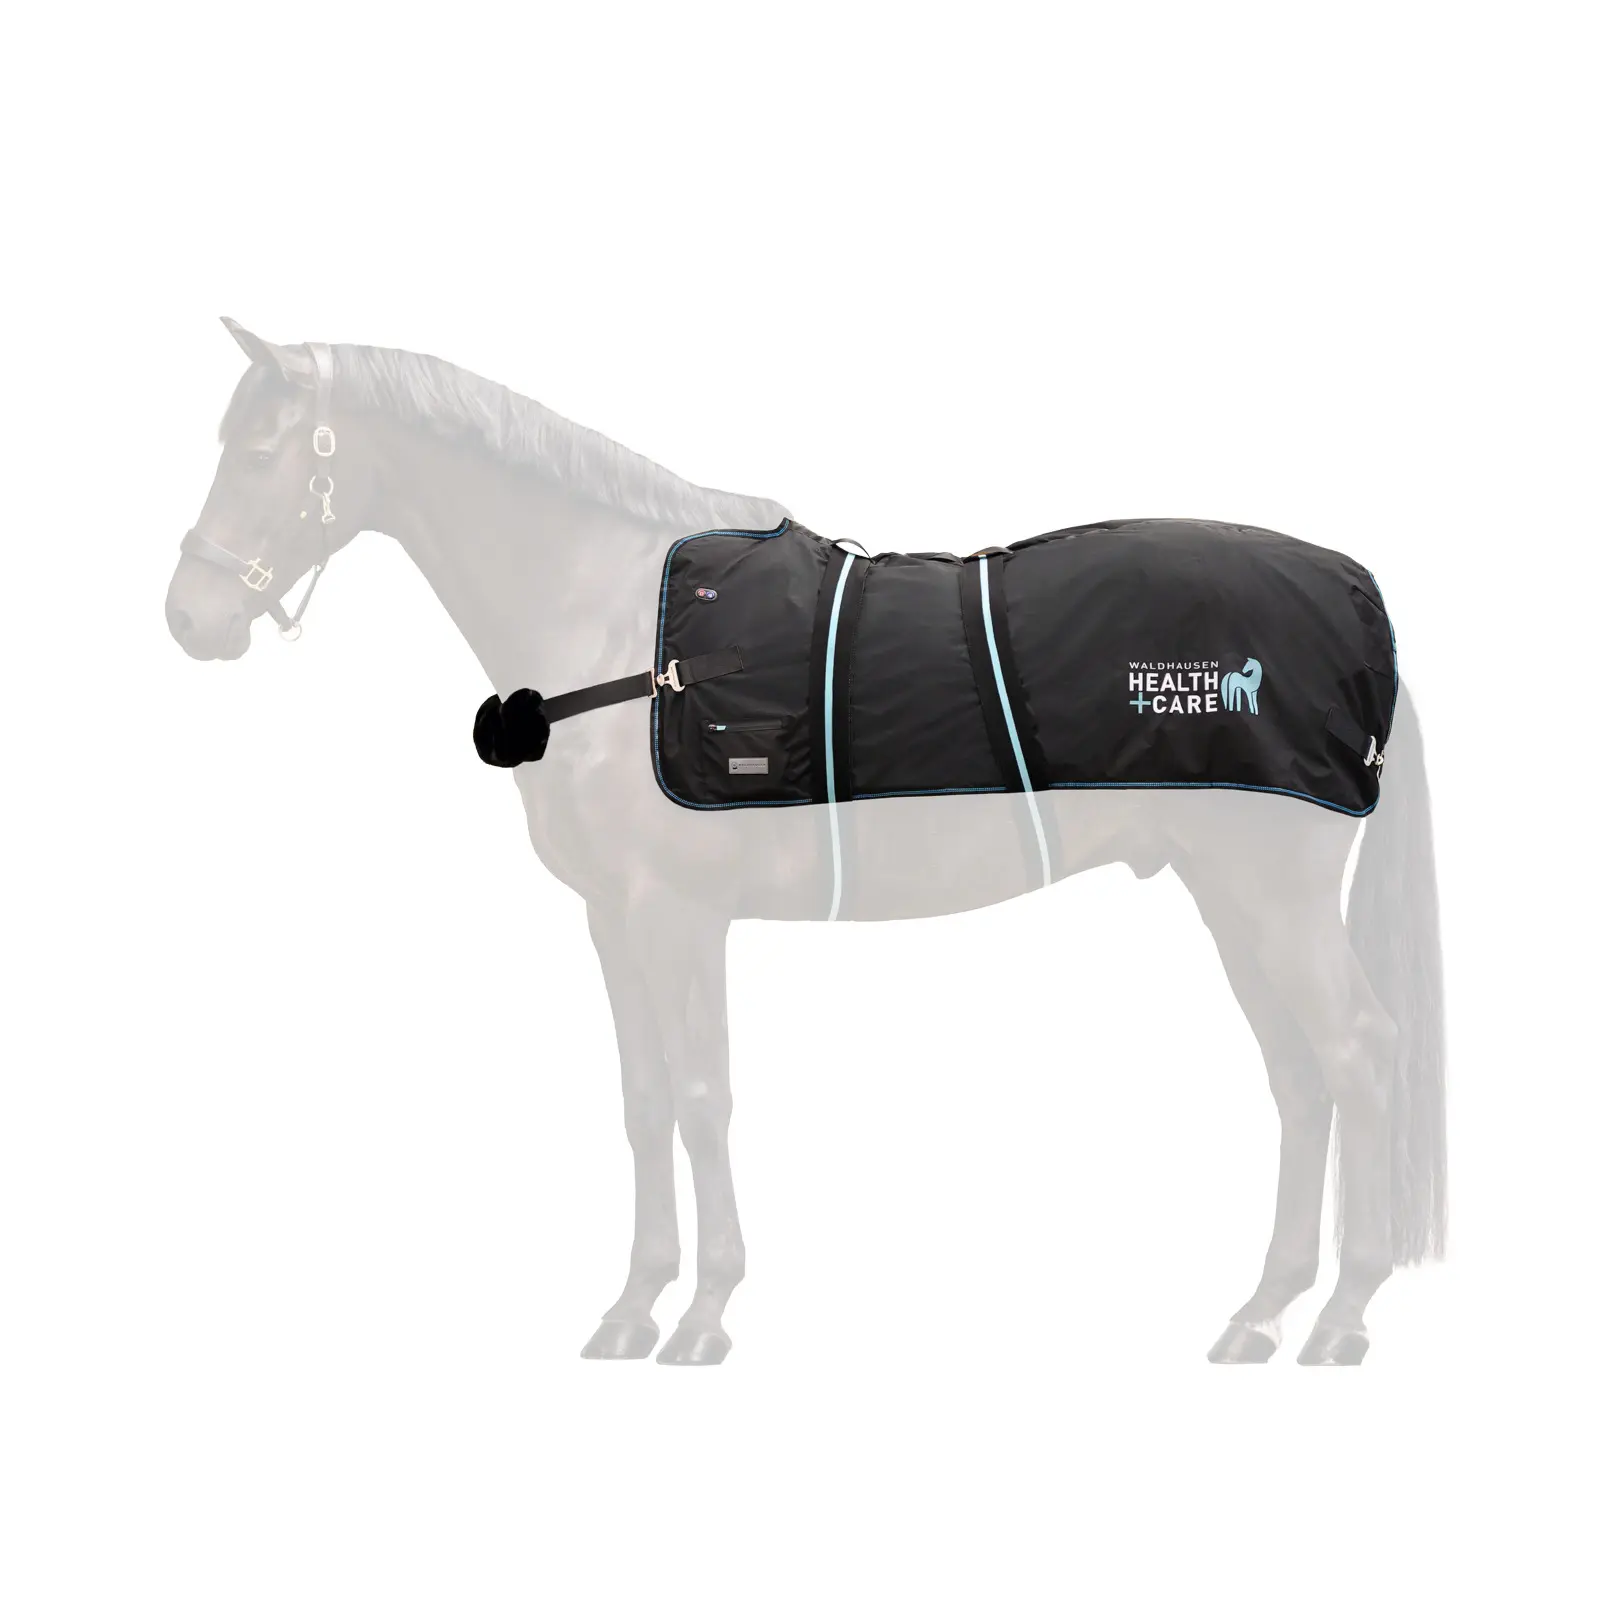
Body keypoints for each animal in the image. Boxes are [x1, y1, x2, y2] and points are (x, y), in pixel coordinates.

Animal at [164, 319, 1446, 1366]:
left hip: (1268, 897)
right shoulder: (612, 920)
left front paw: (701, 1313)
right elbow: (642, 1100)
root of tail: (1353, 598)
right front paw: (634, 1305)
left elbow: (697, 1095)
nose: (189, 617)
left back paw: (1339, 1316)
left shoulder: (674, 915)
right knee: (1299, 1078)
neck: (630, 632)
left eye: (266, 449)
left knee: (1356, 1053)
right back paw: (1261, 1311)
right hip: (1227, 896)